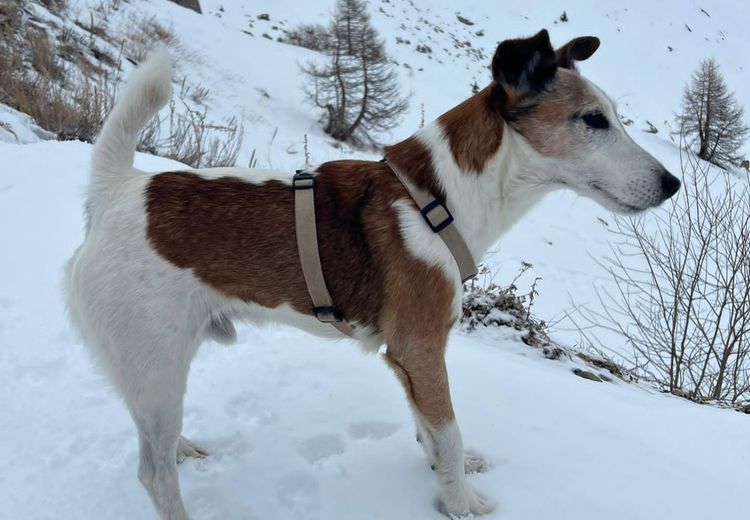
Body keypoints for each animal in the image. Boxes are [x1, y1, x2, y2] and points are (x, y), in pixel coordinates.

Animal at [64, 30, 680, 516]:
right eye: (593, 120)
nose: (673, 184)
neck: (440, 199)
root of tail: (119, 189)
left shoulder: (411, 358)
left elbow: (431, 429)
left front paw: (445, 473)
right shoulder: (420, 347)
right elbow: (447, 431)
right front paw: (461, 505)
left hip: (154, 370)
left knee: (153, 439)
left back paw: (182, 446)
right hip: (158, 361)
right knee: (152, 473)